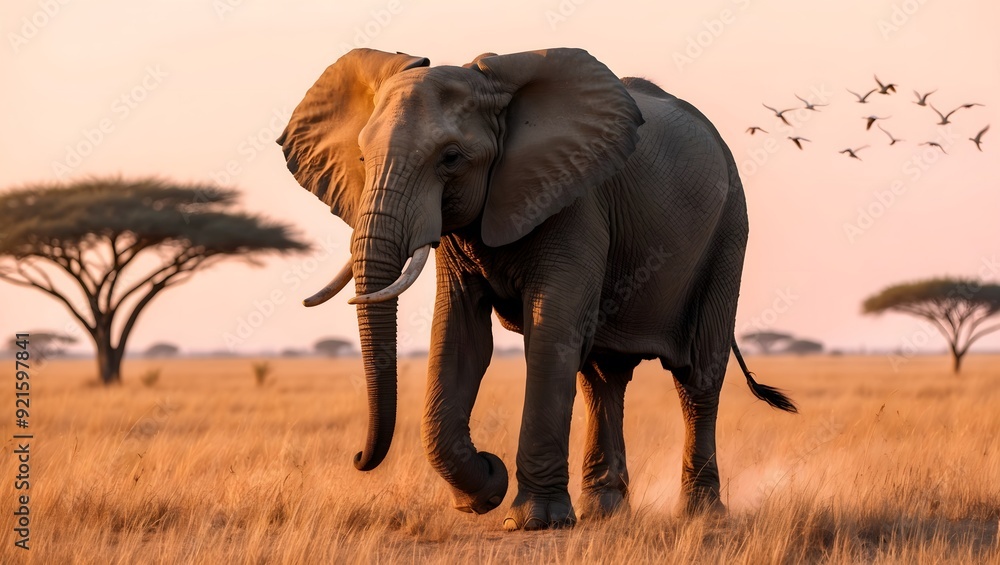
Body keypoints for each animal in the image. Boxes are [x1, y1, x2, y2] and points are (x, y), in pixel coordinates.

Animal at [277, 47, 796, 531]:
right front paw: (484, 493)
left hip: (729, 229)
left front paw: (531, 519)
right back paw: (606, 512)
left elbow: (550, 335)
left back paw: (702, 517)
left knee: (697, 377)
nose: (357, 458)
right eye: (363, 158)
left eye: (450, 159)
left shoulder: (577, 199)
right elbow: (460, 337)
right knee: (602, 377)